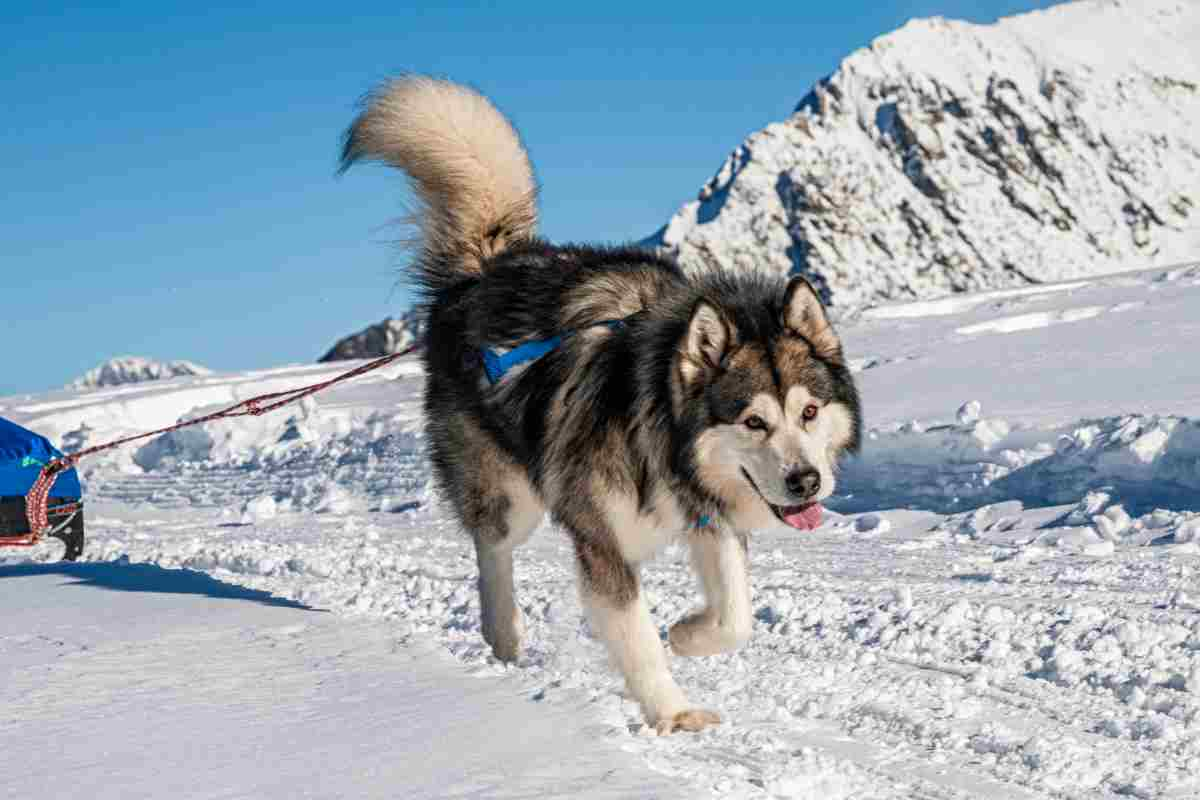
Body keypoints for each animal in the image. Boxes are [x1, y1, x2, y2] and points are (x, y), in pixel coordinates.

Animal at [343, 77, 859, 734]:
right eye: (753, 421)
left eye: (810, 412)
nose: (806, 481)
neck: (659, 431)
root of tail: (483, 270)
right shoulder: (602, 541)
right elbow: (635, 635)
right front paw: (672, 713)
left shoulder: (706, 512)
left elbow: (736, 616)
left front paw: (688, 634)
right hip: (511, 496)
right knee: (493, 549)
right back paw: (503, 634)